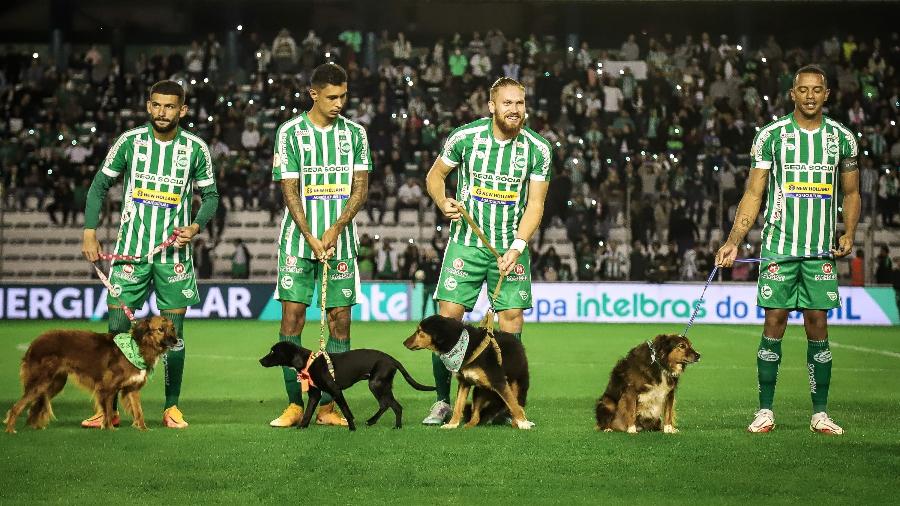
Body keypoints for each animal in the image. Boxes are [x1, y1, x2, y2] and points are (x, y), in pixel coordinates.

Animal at [4, 314, 178, 432]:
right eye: (160, 330)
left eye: (172, 329)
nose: (176, 341)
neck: (138, 346)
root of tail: (34, 343)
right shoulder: (107, 388)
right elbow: (108, 411)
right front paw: (110, 429)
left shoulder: (132, 389)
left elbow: (139, 412)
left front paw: (143, 429)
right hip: (41, 382)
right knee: (16, 407)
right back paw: (10, 430)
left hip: (55, 384)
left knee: (33, 408)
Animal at [258, 340, 434, 430]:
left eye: (273, 351)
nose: (260, 360)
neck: (309, 361)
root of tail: (392, 359)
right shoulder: (314, 394)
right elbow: (308, 412)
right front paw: (301, 427)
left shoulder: (336, 391)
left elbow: (347, 411)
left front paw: (352, 428)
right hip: (379, 385)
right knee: (386, 404)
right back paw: (372, 421)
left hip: (376, 384)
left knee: (395, 406)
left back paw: (397, 426)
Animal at [404, 314, 532, 428]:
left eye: (419, 331)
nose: (404, 343)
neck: (461, 345)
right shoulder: (464, 382)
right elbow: (458, 406)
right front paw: (452, 424)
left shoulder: (499, 381)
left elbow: (513, 405)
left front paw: (523, 423)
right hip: (479, 392)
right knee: (476, 416)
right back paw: (468, 425)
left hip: (517, 385)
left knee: (517, 405)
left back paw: (517, 422)